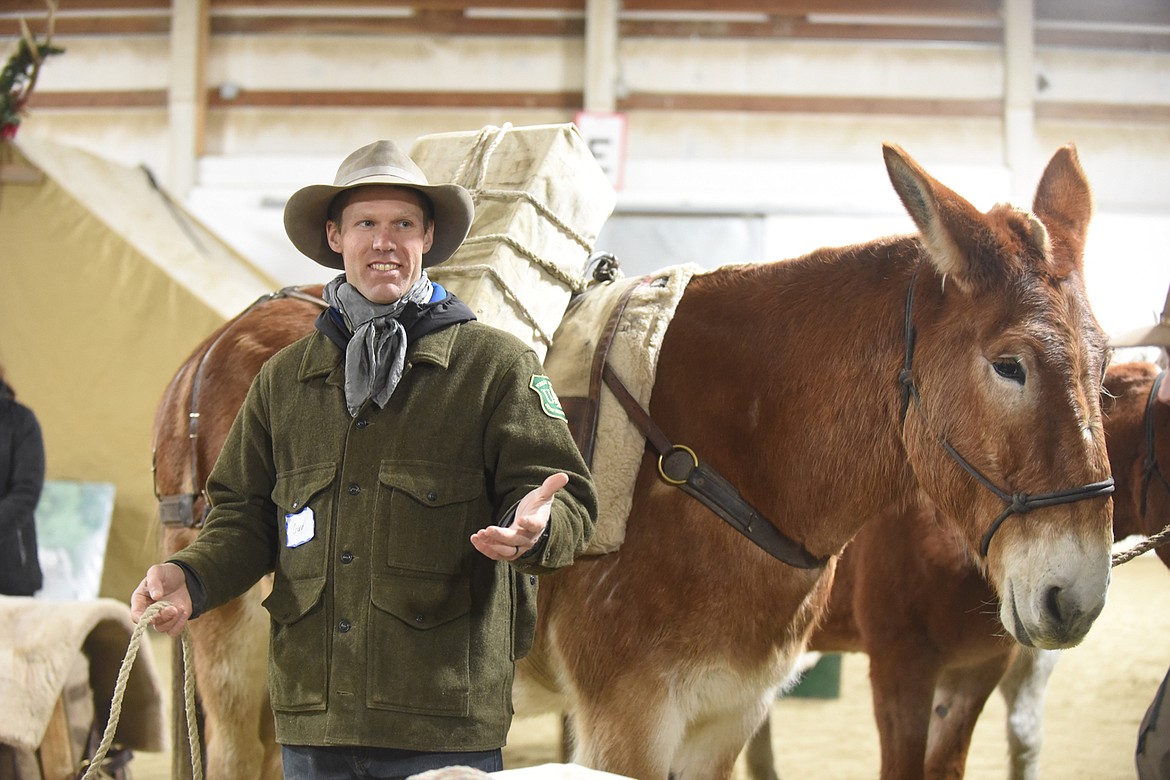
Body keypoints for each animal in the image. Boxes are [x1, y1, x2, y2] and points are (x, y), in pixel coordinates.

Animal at [150, 143, 1109, 776]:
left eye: (1106, 370)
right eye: (1011, 365)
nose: (1076, 595)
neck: (723, 460)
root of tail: (217, 344)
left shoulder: (729, 718)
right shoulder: (631, 720)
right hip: (230, 658)